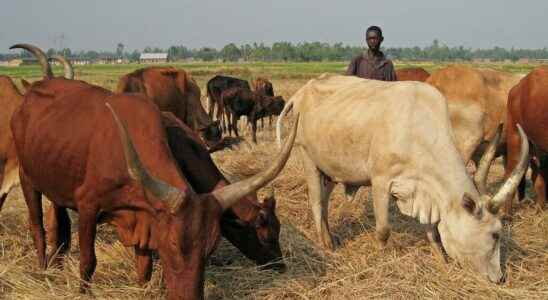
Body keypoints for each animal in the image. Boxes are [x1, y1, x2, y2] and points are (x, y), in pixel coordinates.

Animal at [10, 43, 298, 298]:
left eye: (209, 248)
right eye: (267, 235)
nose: (281, 266)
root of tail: (35, 89)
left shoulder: (144, 222)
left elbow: (144, 271)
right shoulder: (88, 206)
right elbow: (88, 262)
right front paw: (82, 292)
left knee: (58, 222)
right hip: (27, 179)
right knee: (37, 226)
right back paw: (43, 268)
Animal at [276, 74, 528, 282]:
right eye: (495, 234)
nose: (500, 278)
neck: (418, 131)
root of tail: (301, 92)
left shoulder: (427, 191)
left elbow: (433, 231)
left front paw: (441, 259)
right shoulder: (380, 180)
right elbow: (383, 230)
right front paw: (381, 257)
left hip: (329, 169)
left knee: (325, 202)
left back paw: (331, 237)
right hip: (308, 158)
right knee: (316, 202)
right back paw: (325, 243)